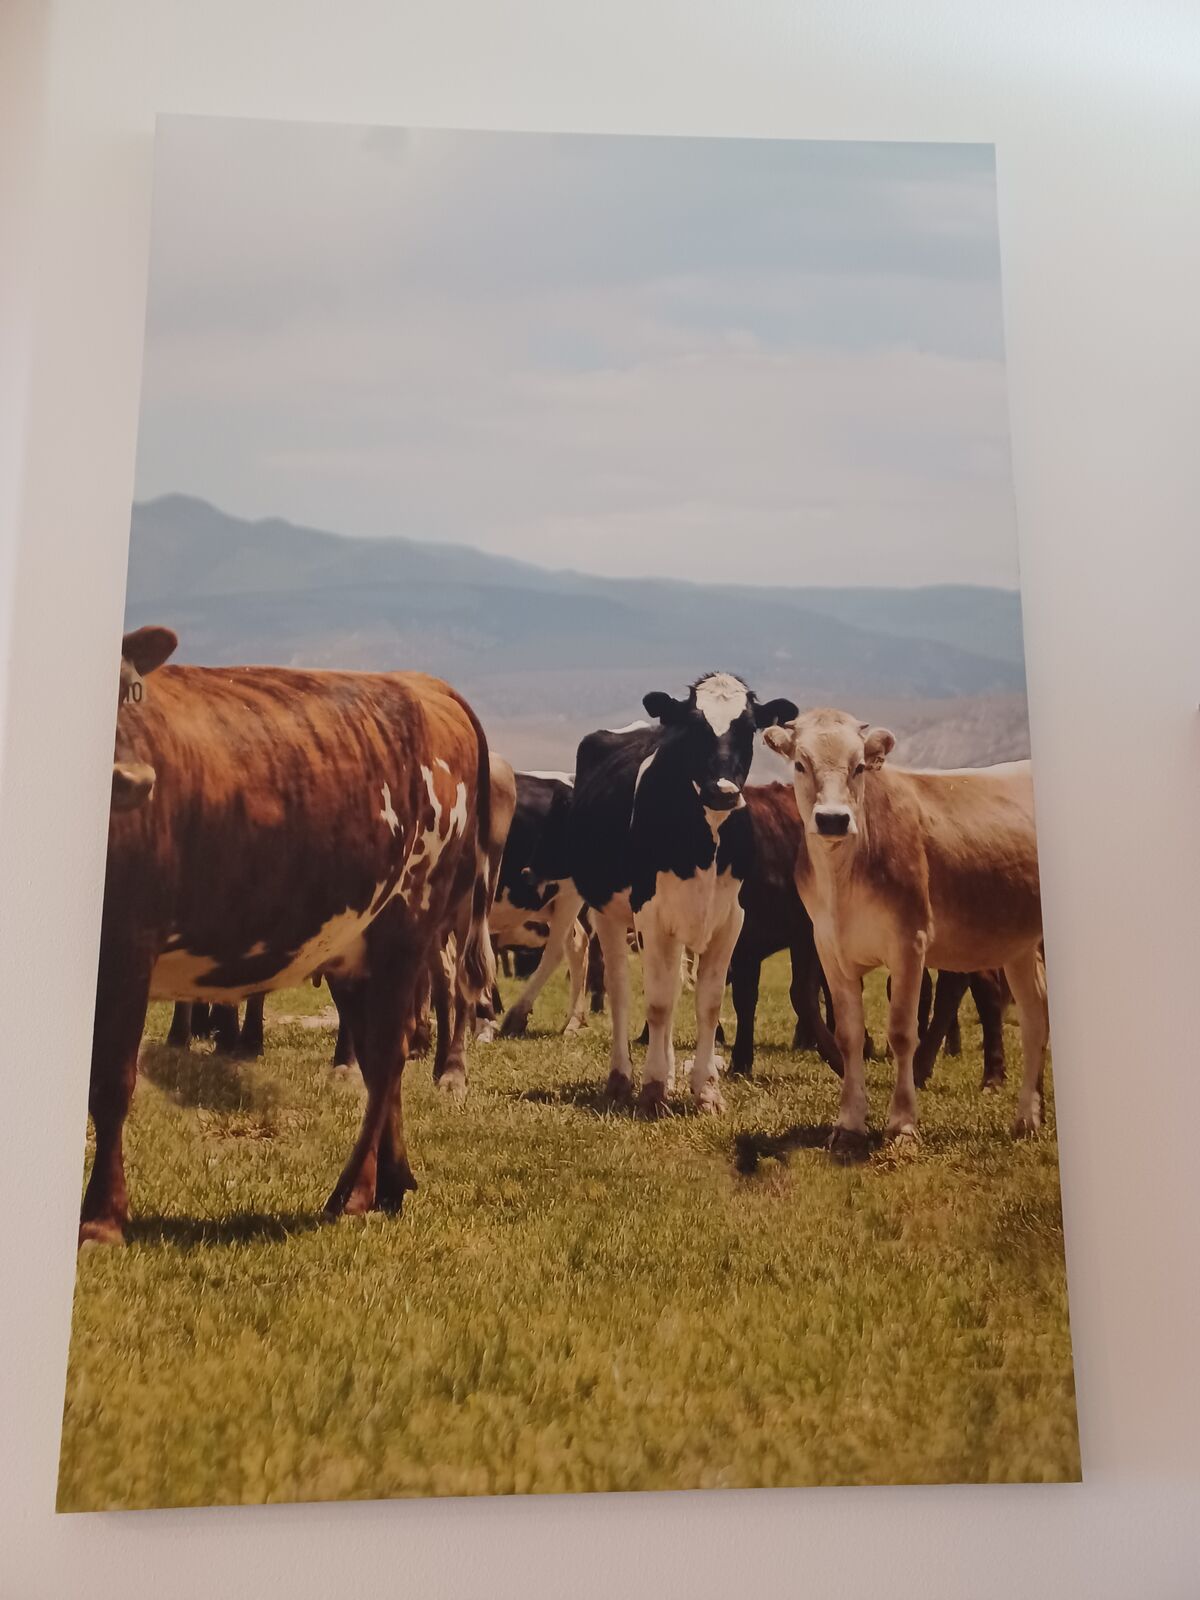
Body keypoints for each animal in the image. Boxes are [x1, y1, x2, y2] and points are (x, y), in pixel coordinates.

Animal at [81, 626, 495, 1245]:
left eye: (131, 690)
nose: (132, 781)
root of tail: (424, 685)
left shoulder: (128, 945)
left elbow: (109, 1083)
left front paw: (101, 1219)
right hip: (354, 945)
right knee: (379, 1057)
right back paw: (392, 1182)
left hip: (409, 924)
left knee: (389, 1056)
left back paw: (355, 1193)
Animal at [567, 673, 797, 1116]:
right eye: (694, 727)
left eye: (748, 728)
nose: (723, 791)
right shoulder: (651, 915)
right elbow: (657, 1004)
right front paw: (654, 1088)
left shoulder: (731, 920)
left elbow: (708, 1003)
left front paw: (706, 1089)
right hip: (609, 914)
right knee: (622, 993)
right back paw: (622, 1079)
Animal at [763, 708, 1048, 1159]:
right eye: (800, 764)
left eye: (859, 766)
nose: (832, 819)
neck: (843, 878)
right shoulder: (830, 950)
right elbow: (848, 1036)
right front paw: (848, 1125)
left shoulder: (909, 944)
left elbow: (901, 1032)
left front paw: (902, 1126)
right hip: (1017, 943)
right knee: (1036, 1016)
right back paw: (1027, 1119)